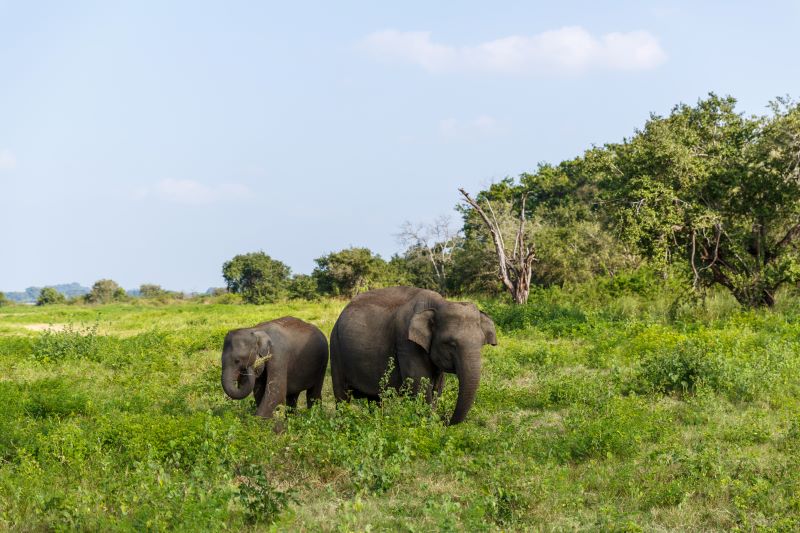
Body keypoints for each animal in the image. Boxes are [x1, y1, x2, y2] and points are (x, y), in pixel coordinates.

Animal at [330, 286, 494, 424]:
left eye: (481, 343)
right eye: (450, 344)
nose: (445, 420)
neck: (439, 304)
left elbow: (437, 387)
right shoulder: (407, 343)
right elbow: (419, 384)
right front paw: (428, 424)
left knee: (375, 398)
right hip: (335, 348)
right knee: (342, 395)